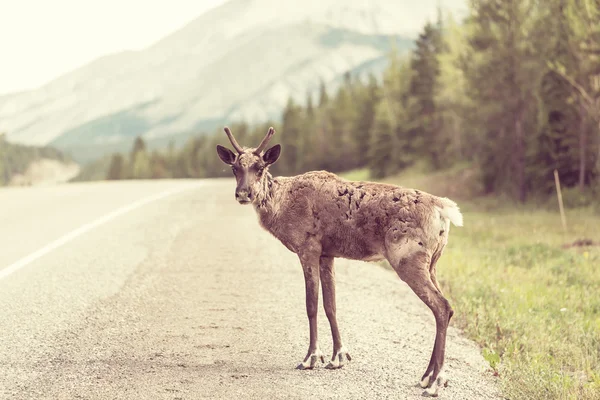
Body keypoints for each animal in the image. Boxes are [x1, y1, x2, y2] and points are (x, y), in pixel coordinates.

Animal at [216, 126, 464, 396]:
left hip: (408, 259)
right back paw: (429, 376)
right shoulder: (328, 254)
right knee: (446, 309)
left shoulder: (308, 248)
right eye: (234, 168)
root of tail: (443, 209)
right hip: (433, 263)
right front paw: (338, 357)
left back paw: (436, 381)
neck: (280, 206)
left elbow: (311, 305)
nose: (243, 194)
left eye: (260, 167)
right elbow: (330, 305)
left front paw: (311, 358)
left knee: (442, 307)